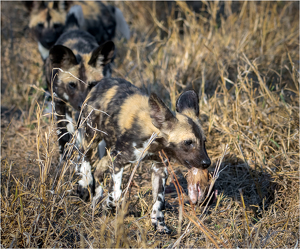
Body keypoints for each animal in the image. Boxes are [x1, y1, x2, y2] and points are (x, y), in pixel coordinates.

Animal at [78, 78, 212, 233]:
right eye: (188, 142)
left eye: (204, 141)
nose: (207, 163)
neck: (154, 139)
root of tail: (102, 81)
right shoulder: (118, 161)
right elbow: (116, 194)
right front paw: (109, 205)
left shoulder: (160, 168)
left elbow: (159, 201)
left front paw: (159, 223)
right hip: (91, 137)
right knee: (84, 156)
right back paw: (84, 184)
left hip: (109, 154)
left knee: (99, 170)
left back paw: (95, 203)